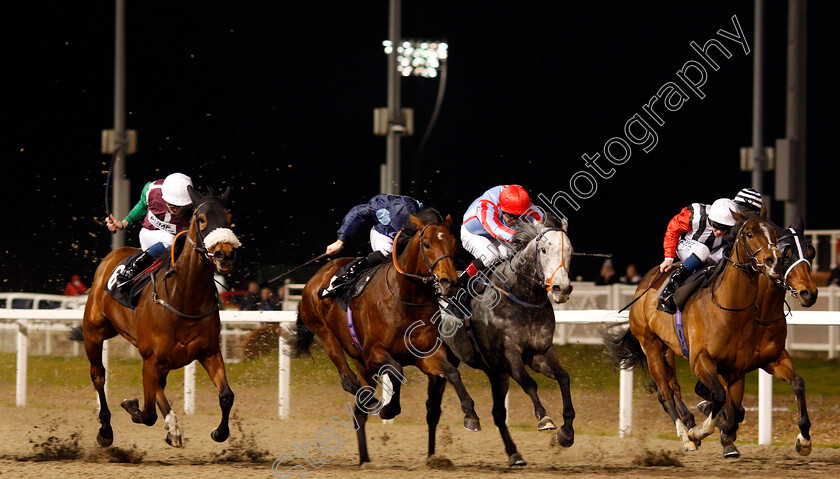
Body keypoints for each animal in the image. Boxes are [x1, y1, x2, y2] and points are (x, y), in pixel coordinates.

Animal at [74, 186, 241, 448]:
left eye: (229, 219)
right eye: (201, 219)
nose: (225, 254)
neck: (183, 298)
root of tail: (114, 255)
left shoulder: (209, 352)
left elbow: (226, 395)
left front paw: (218, 432)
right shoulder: (151, 358)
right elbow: (147, 413)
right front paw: (131, 406)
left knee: (159, 386)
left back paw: (173, 428)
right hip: (94, 332)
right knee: (98, 375)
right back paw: (106, 430)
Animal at [292, 209, 480, 464]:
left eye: (453, 243)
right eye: (427, 244)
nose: (449, 282)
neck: (407, 298)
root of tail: (318, 275)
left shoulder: (426, 355)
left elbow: (451, 372)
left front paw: (470, 414)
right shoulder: (374, 353)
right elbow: (397, 371)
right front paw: (389, 408)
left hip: (363, 365)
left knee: (359, 412)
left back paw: (365, 457)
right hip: (323, 330)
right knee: (346, 376)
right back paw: (366, 397)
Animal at [436, 219, 576, 466]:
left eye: (570, 251)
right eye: (543, 250)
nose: (561, 288)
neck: (521, 297)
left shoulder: (541, 351)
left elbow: (563, 377)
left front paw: (566, 432)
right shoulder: (509, 354)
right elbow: (528, 383)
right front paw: (544, 418)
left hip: (495, 372)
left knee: (497, 414)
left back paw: (514, 453)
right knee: (451, 374)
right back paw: (470, 416)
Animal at [600, 210, 784, 458]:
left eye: (773, 231)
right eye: (749, 233)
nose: (774, 261)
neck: (728, 308)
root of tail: (643, 286)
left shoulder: (736, 369)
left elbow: (733, 407)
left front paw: (724, 436)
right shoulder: (699, 359)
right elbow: (718, 396)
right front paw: (698, 433)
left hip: (668, 348)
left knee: (673, 387)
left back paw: (688, 423)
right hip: (651, 346)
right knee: (665, 393)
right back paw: (685, 435)